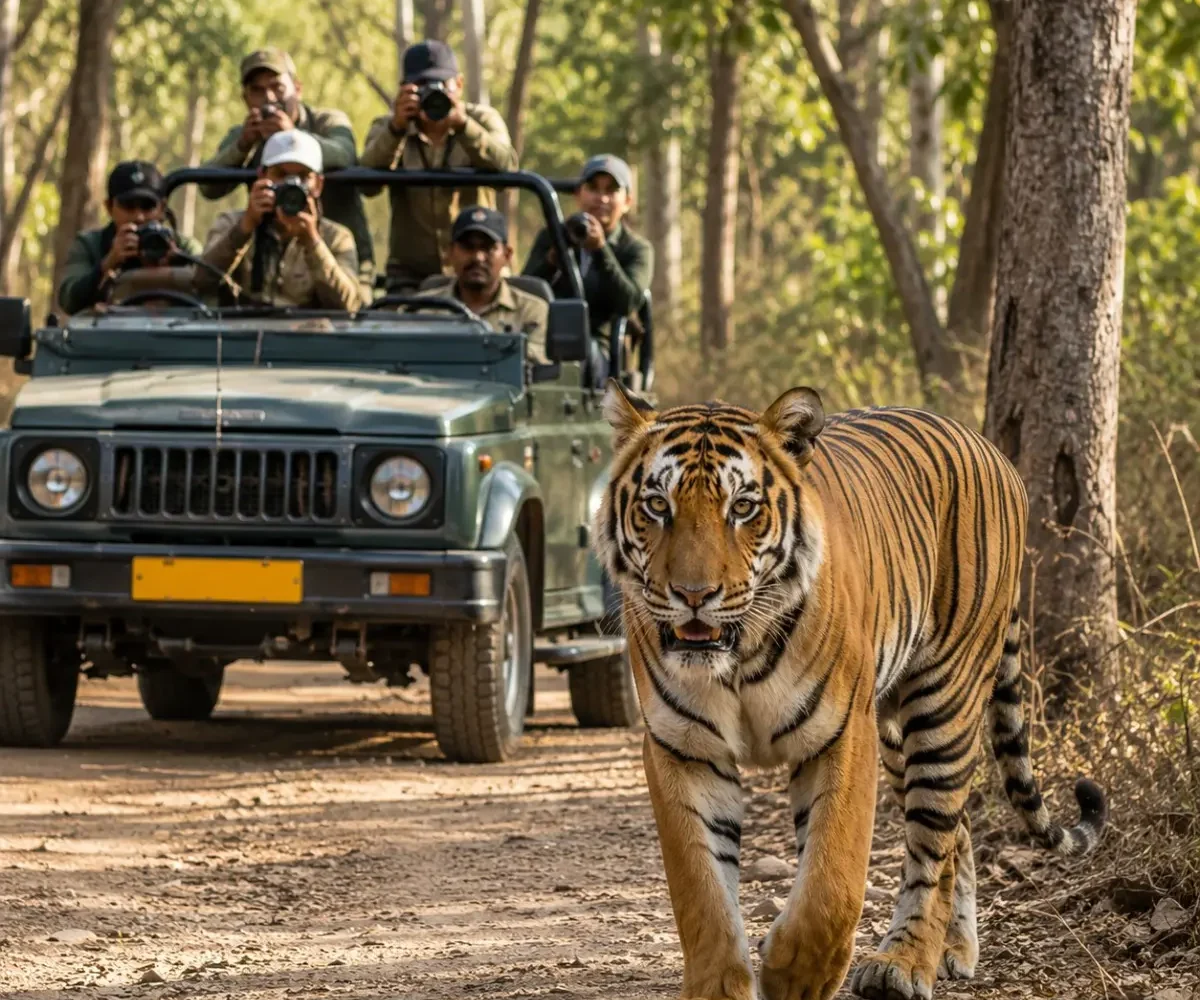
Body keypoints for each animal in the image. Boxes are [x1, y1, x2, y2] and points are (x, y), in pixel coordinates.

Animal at [592, 379, 1108, 1000]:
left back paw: (905, 964)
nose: (695, 595)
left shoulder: (841, 734)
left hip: (945, 705)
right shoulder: (683, 748)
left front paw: (795, 975)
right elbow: (701, 892)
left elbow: (832, 880)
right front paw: (721, 986)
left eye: (742, 507)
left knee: (932, 846)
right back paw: (954, 950)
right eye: (656, 506)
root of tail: (993, 451)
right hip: (898, 733)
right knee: (957, 835)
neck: (737, 656)